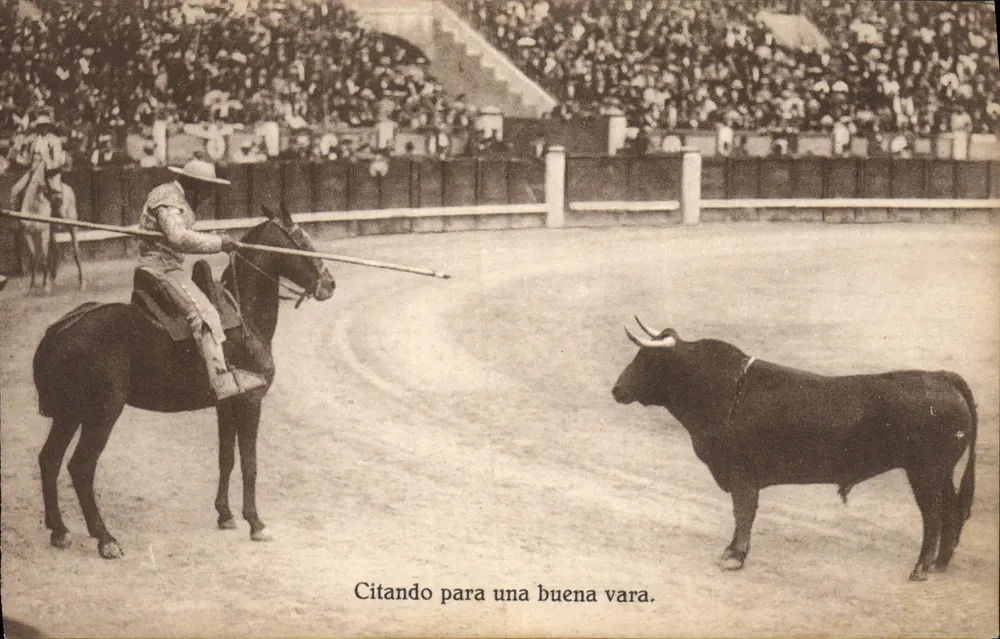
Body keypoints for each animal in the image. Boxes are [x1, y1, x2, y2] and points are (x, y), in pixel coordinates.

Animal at [16, 158, 85, 294]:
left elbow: (44, 257)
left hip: (71, 226)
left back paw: (81, 282)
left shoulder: (44, 232)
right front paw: (32, 286)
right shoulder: (27, 233)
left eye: (60, 176)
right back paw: (53, 279)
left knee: (76, 252)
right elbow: (33, 257)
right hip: (51, 231)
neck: (34, 208)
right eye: (49, 176)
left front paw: (45, 286)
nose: (59, 196)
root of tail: (68, 189)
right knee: (56, 251)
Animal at [33, 204, 336, 558]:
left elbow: (226, 458)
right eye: (302, 240)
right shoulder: (251, 401)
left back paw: (59, 530)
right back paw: (105, 538)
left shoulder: (227, 404)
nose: (330, 283)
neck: (244, 314)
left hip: (69, 414)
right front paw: (256, 523)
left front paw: (225, 515)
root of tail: (61, 329)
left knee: (49, 459)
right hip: (101, 415)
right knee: (80, 467)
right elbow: (250, 463)